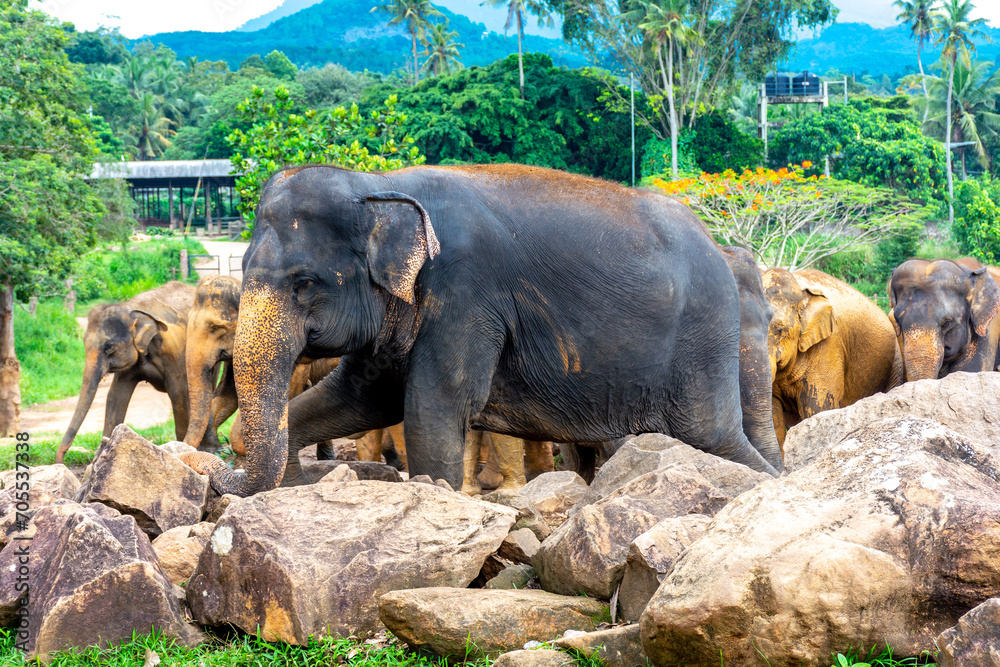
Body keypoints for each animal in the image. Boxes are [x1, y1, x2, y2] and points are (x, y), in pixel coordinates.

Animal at [56, 281, 199, 464]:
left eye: (108, 347)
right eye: (84, 343)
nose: (61, 461)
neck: (130, 308)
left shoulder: (173, 353)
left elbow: (179, 394)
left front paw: (182, 449)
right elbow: (116, 395)